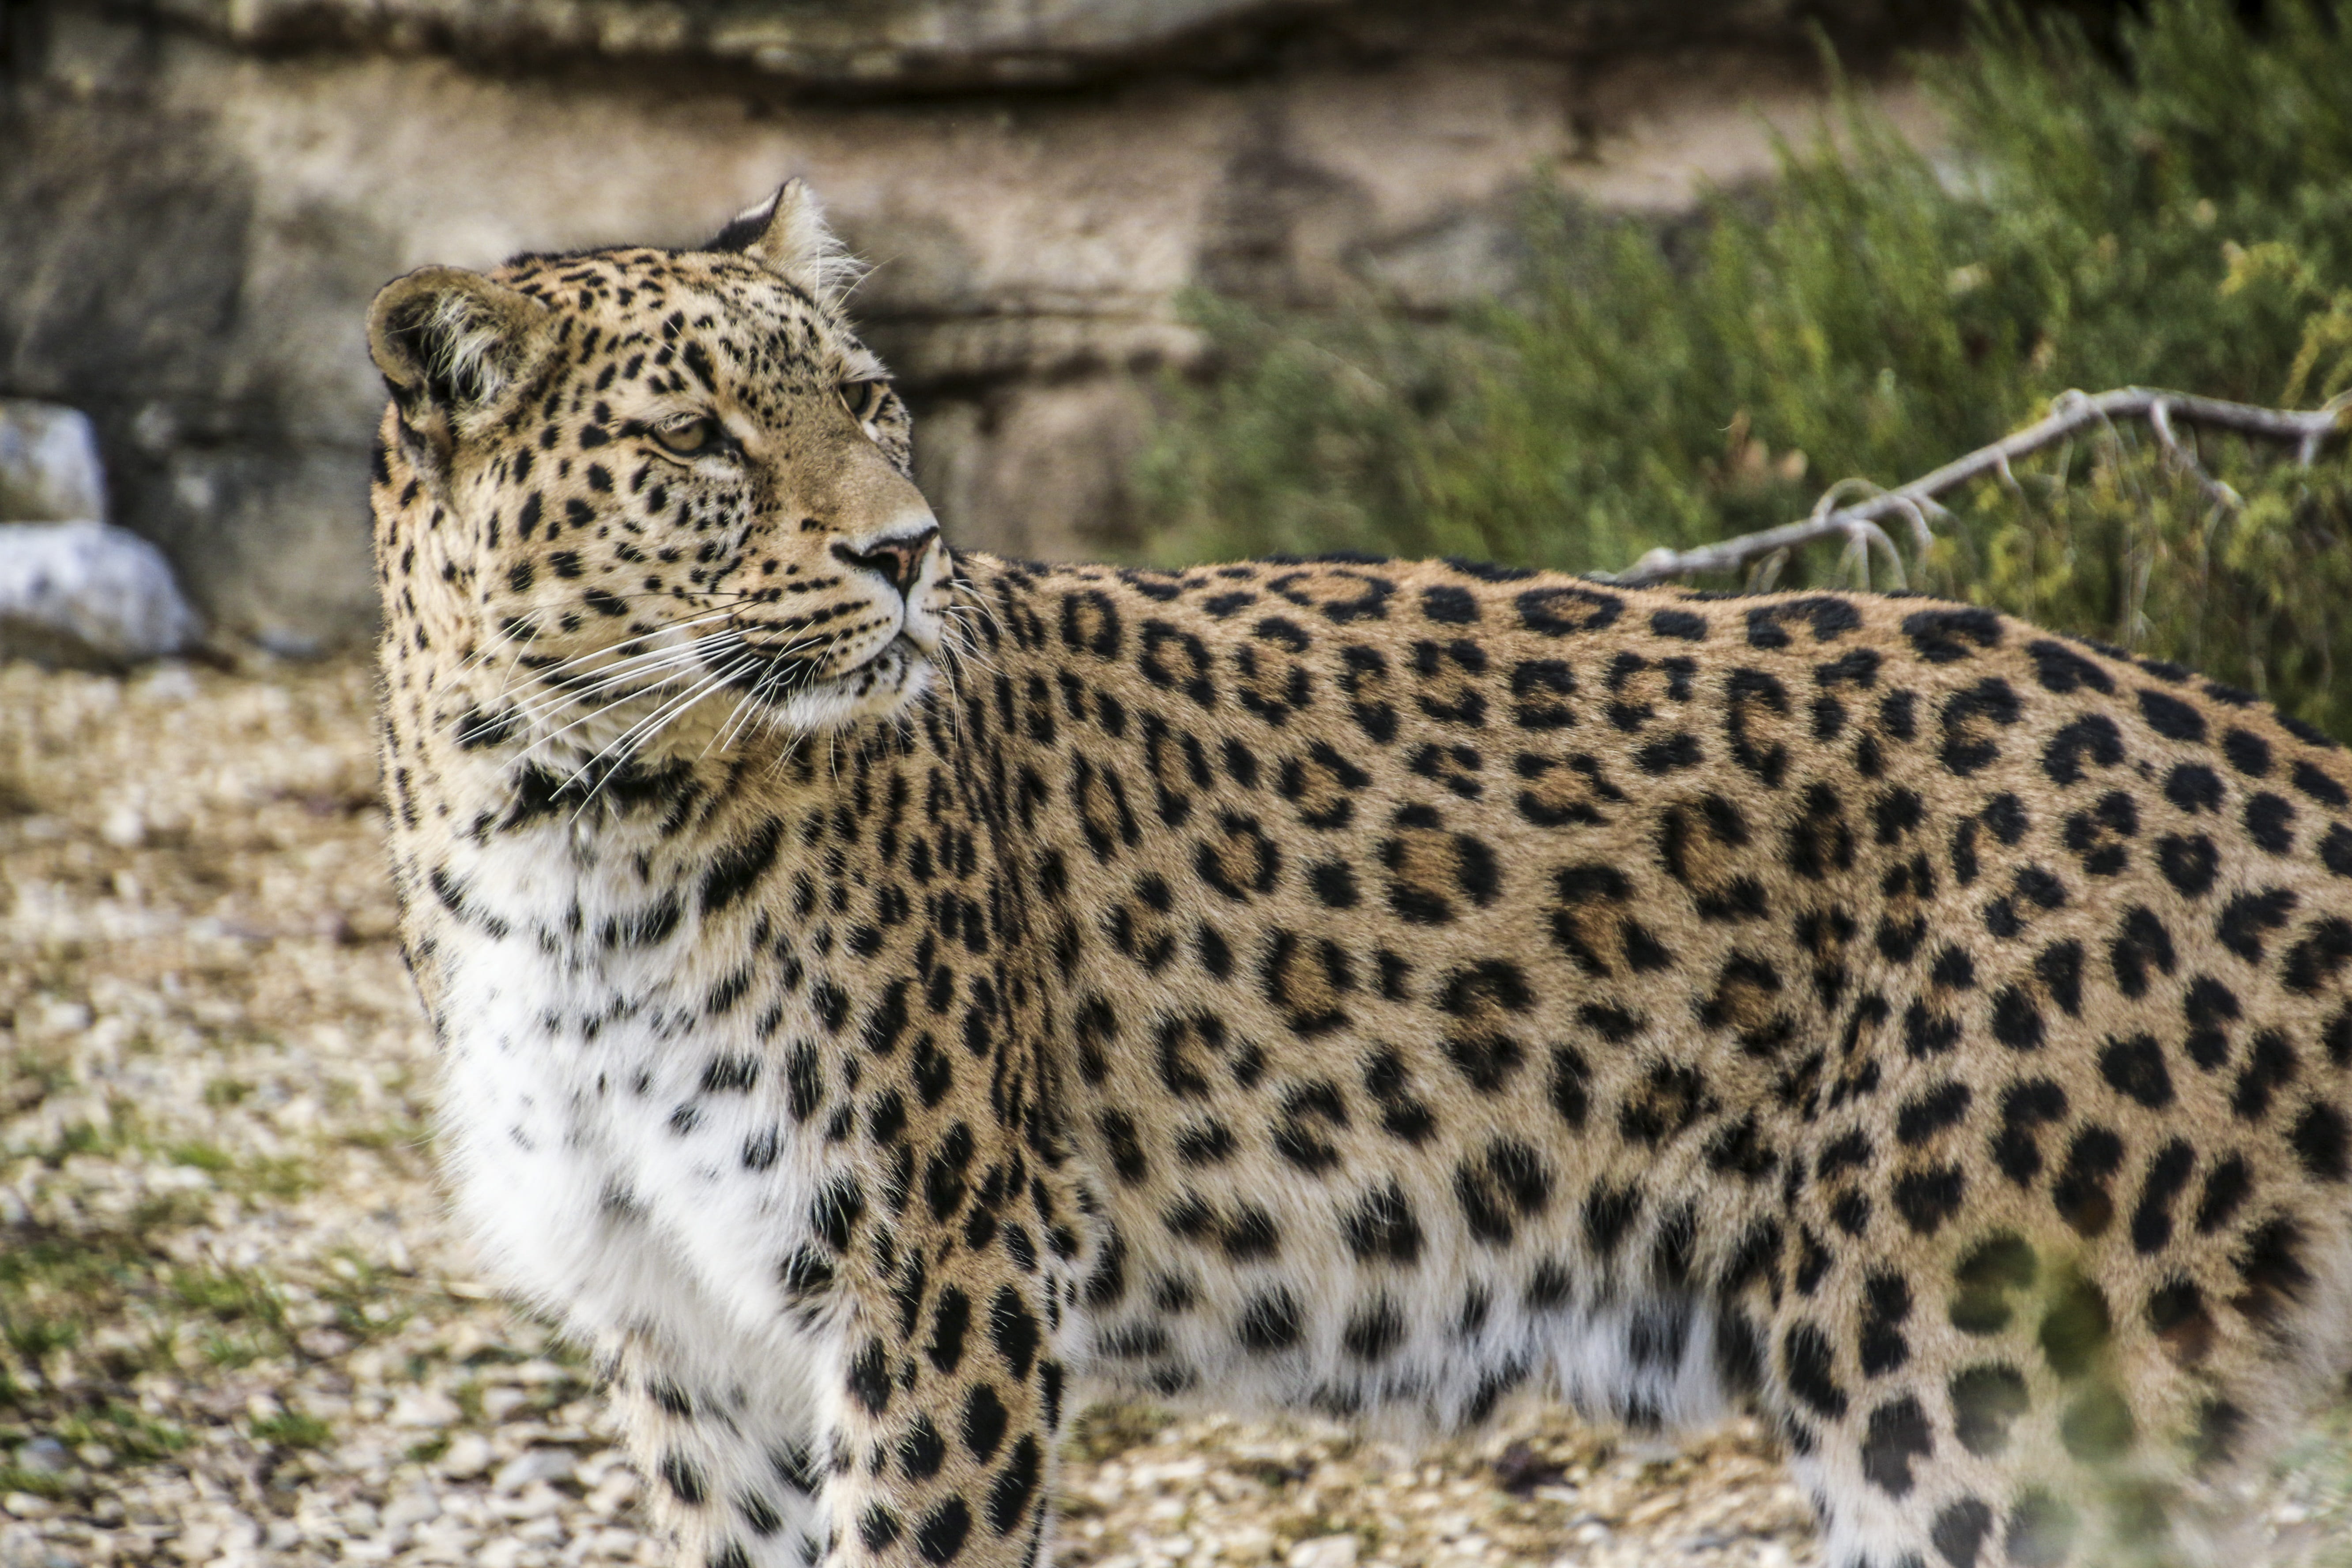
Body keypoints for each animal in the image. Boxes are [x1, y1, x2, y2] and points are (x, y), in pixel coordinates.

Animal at [365, 180, 2352, 1568]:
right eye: (693, 440)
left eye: (868, 401)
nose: (908, 551)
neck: (561, 832)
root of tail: (2272, 751)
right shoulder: (682, 1329)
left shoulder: (939, 1281)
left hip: (1974, 1385)